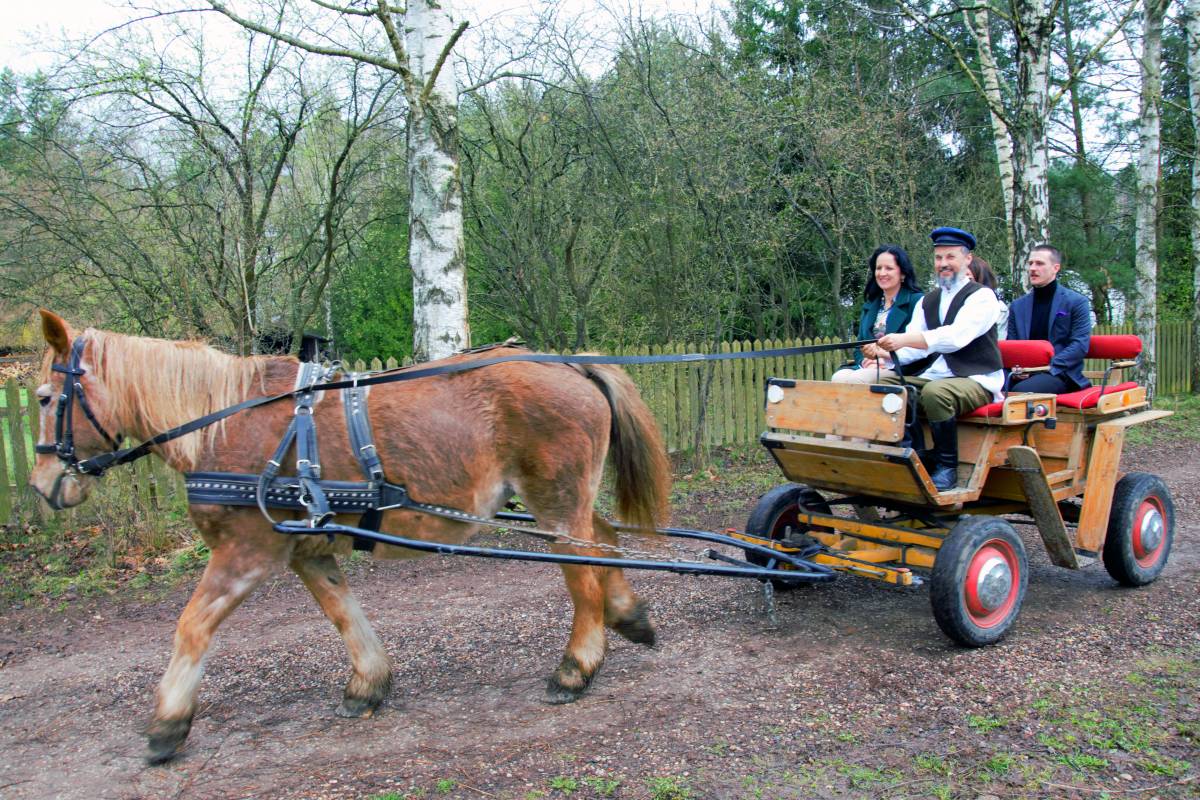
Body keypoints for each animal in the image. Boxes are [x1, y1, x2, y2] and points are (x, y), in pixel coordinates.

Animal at [28, 311, 672, 762]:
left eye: (44, 398)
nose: (42, 485)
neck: (222, 425)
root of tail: (569, 363)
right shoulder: (307, 550)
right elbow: (342, 614)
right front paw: (369, 683)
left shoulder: (244, 553)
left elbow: (192, 627)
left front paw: (167, 726)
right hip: (570, 501)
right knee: (605, 538)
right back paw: (628, 615)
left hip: (555, 503)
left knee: (583, 569)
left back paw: (576, 667)